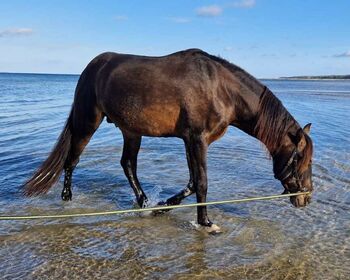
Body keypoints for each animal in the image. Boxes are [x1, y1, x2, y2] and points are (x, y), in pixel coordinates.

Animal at [23, 48, 314, 232]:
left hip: (131, 131)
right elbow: (202, 182)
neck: (220, 89)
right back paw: (67, 198)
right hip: (87, 123)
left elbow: (192, 183)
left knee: (128, 165)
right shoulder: (197, 140)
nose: (306, 197)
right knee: (72, 159)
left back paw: (143, 203)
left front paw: (161, 207)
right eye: (302, 160)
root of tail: (92, 67)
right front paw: (205, 223)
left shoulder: (189, 141)